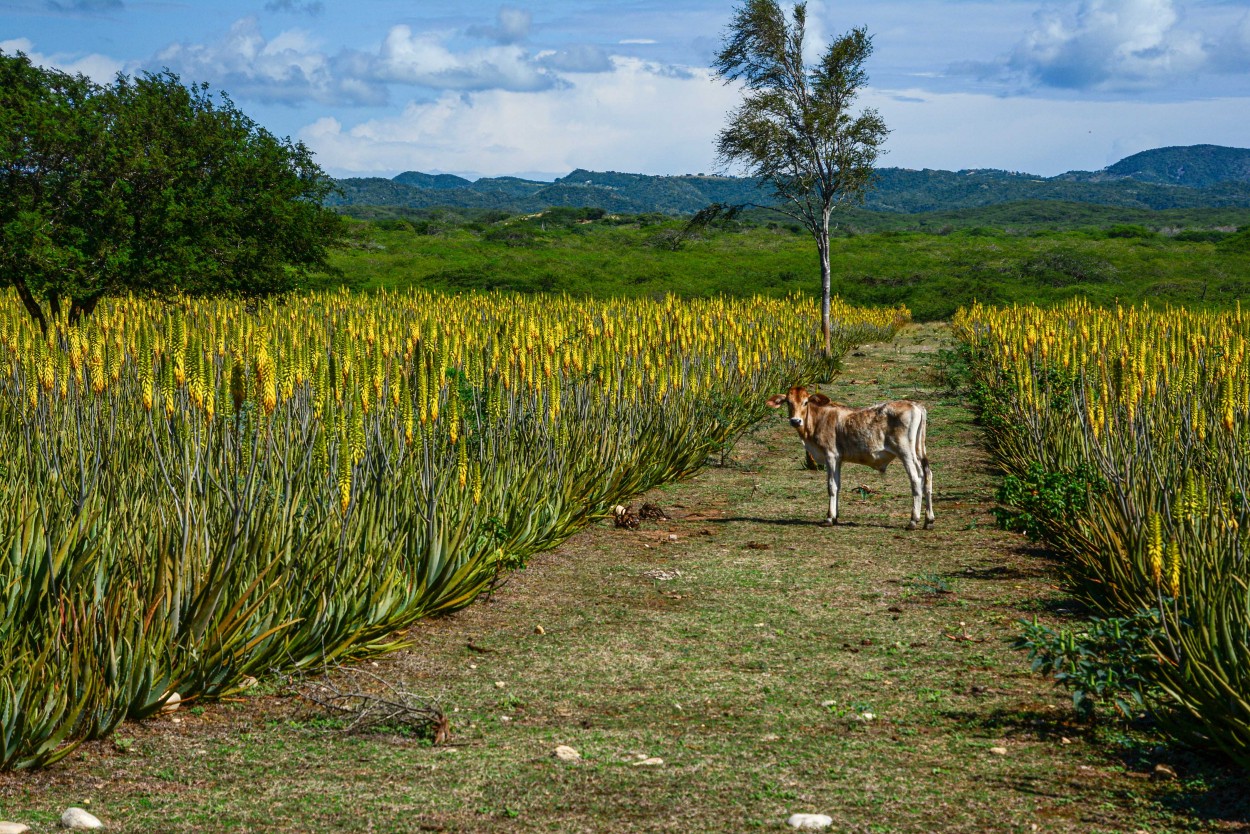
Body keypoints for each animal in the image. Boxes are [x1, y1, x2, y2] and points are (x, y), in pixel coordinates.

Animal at [765, 385, 935, 527]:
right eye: (788, 402)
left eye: (806, 402)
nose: (795, 421)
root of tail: (915, 405)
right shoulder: (838, 459)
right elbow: (838, 485)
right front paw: (835, 516)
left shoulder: (830, 455)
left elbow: (831, 486)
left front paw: (829, 518)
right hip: (919, 451)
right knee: (927, 476)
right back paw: (929, 520)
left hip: (905, 453)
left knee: (916, 479)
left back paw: (913, 520)